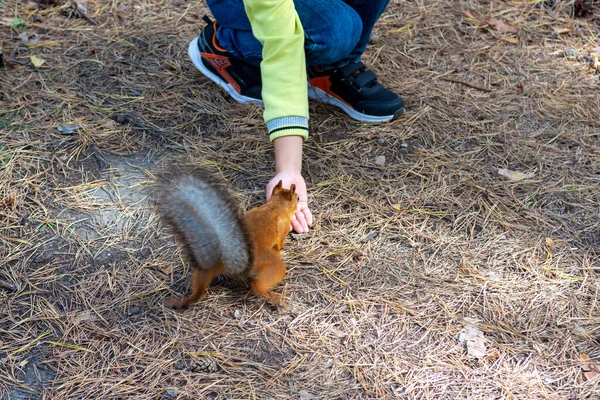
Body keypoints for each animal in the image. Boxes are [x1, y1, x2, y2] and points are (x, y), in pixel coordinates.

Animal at [152, 167, 298, 308]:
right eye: (297, 198)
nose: (299, 201)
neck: (275, 206)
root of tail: (227, 259)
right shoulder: (284, 227)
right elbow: (279, 242)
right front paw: (280, 248)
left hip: (202, 271)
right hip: (269, 263)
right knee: (258, 285)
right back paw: (275, 298)